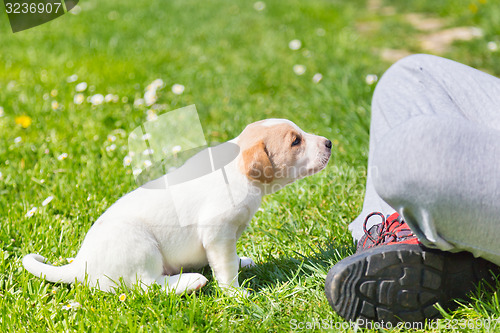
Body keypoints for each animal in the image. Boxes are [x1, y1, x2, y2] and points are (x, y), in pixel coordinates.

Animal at [23, 118, 330, 294]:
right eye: (295, 141)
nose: (328, 142)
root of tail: (81, 265)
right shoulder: (218, 233)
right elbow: (226, 266)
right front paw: (235, 293)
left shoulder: (224, 238)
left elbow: (228, 259)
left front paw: (241, 262)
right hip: (141, 246)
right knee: (146, 286)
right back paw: (190, 282)